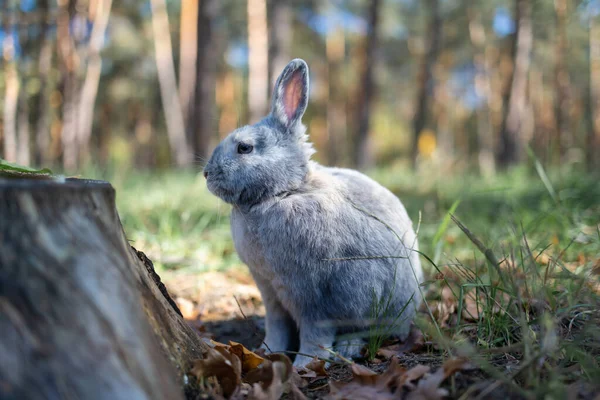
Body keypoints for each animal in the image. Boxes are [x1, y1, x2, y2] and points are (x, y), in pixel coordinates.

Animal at [204, 57, 424, 368]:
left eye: (244, 148)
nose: (206, 174)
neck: (285, 191)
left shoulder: (313, 296)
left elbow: (315, 334)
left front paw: (305, 364)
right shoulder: (270, 292)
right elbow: (277, 327)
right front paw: (266, 352)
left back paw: (348, 348)